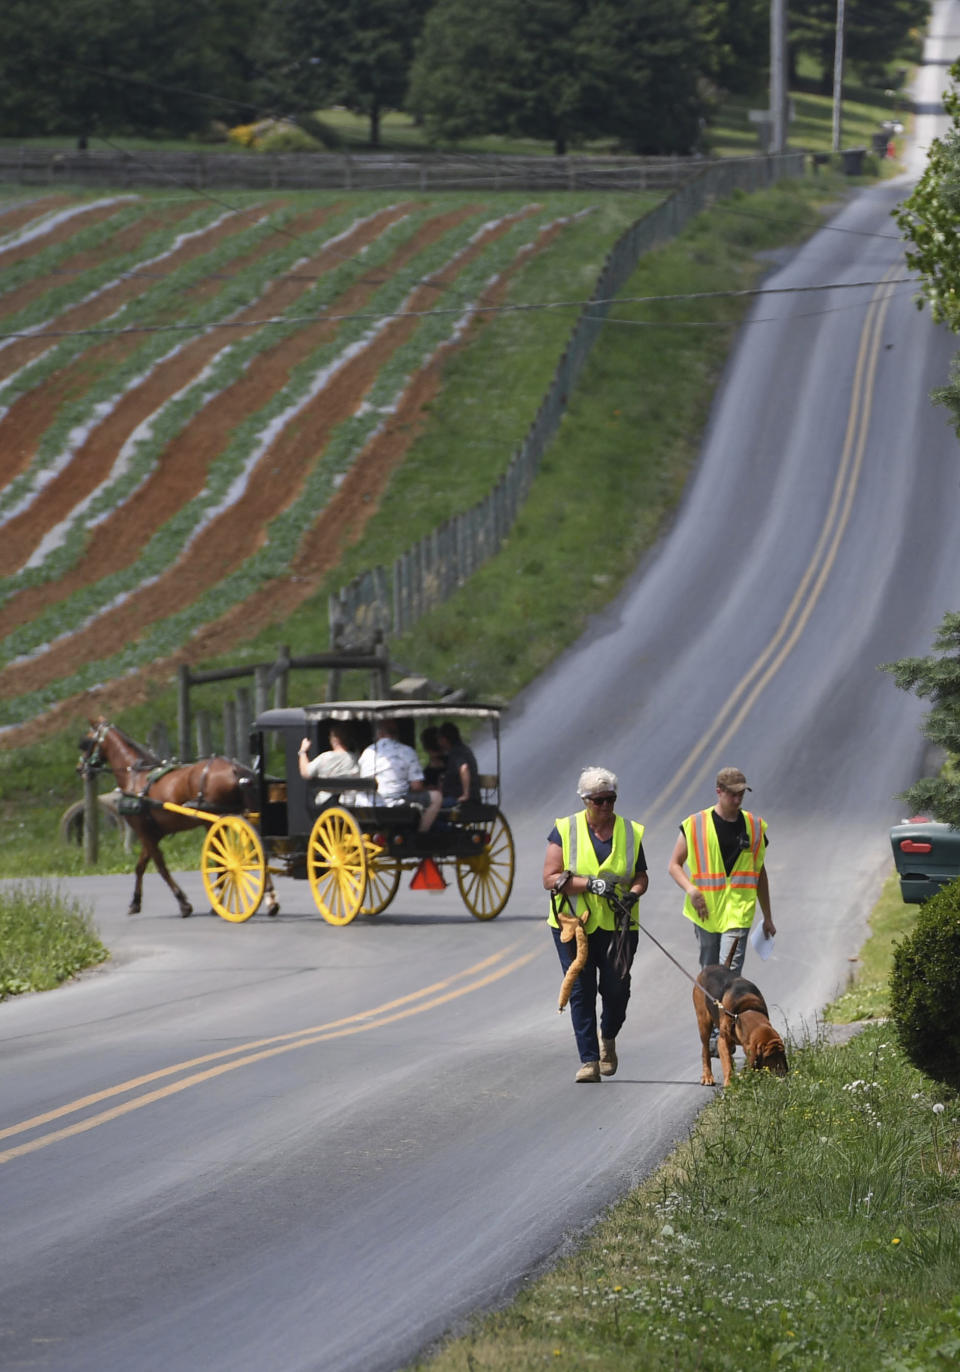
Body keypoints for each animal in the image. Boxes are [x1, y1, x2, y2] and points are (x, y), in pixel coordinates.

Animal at [77, 718, 277, 921]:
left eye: (86, 742)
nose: (80, 768)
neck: (136, 777)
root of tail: (236, 769)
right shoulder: (153, 833)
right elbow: (140, 866)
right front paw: (135, 902)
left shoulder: (143, 832)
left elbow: (160, 867)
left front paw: (183, 903)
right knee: (258, 853)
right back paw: (267, 899)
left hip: (214, 821)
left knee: (226, 859)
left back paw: (221, 901)